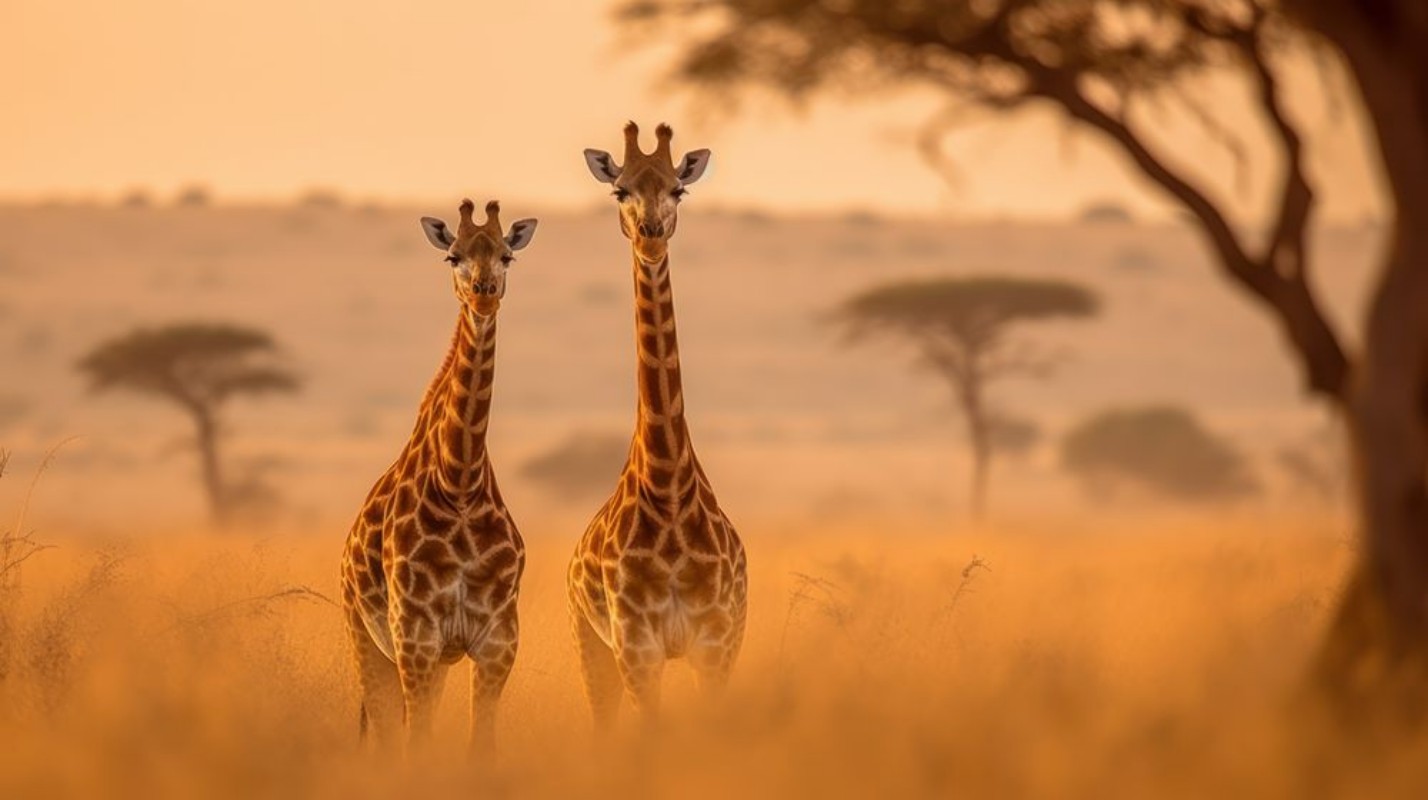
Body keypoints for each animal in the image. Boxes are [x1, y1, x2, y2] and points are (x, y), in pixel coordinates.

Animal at [339, 198, 538, 753]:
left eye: (507, 256)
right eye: (453, 256)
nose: (484, 293)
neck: (460, 483)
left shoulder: (497, 640)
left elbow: (480, 746)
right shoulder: (415, 635)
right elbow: (416, 746)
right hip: (367, 639)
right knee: (387, 736)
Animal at [568, 122, 748, 727]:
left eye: (678, 189)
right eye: (619, 190)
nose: (650, 234)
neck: (669, 489)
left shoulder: (716, 640)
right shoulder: (635, 643)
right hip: (590, 642)